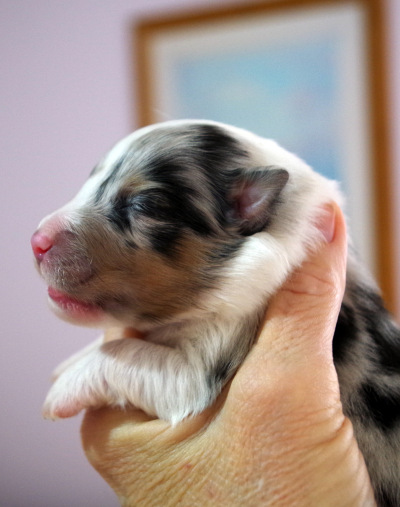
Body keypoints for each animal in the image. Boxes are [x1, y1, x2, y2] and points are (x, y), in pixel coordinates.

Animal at [32, 121, 400, 506]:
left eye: (144, 205)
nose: (36, 241)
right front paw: (67, 364)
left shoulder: (202, 367)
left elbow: (121, 352)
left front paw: (62, 390)